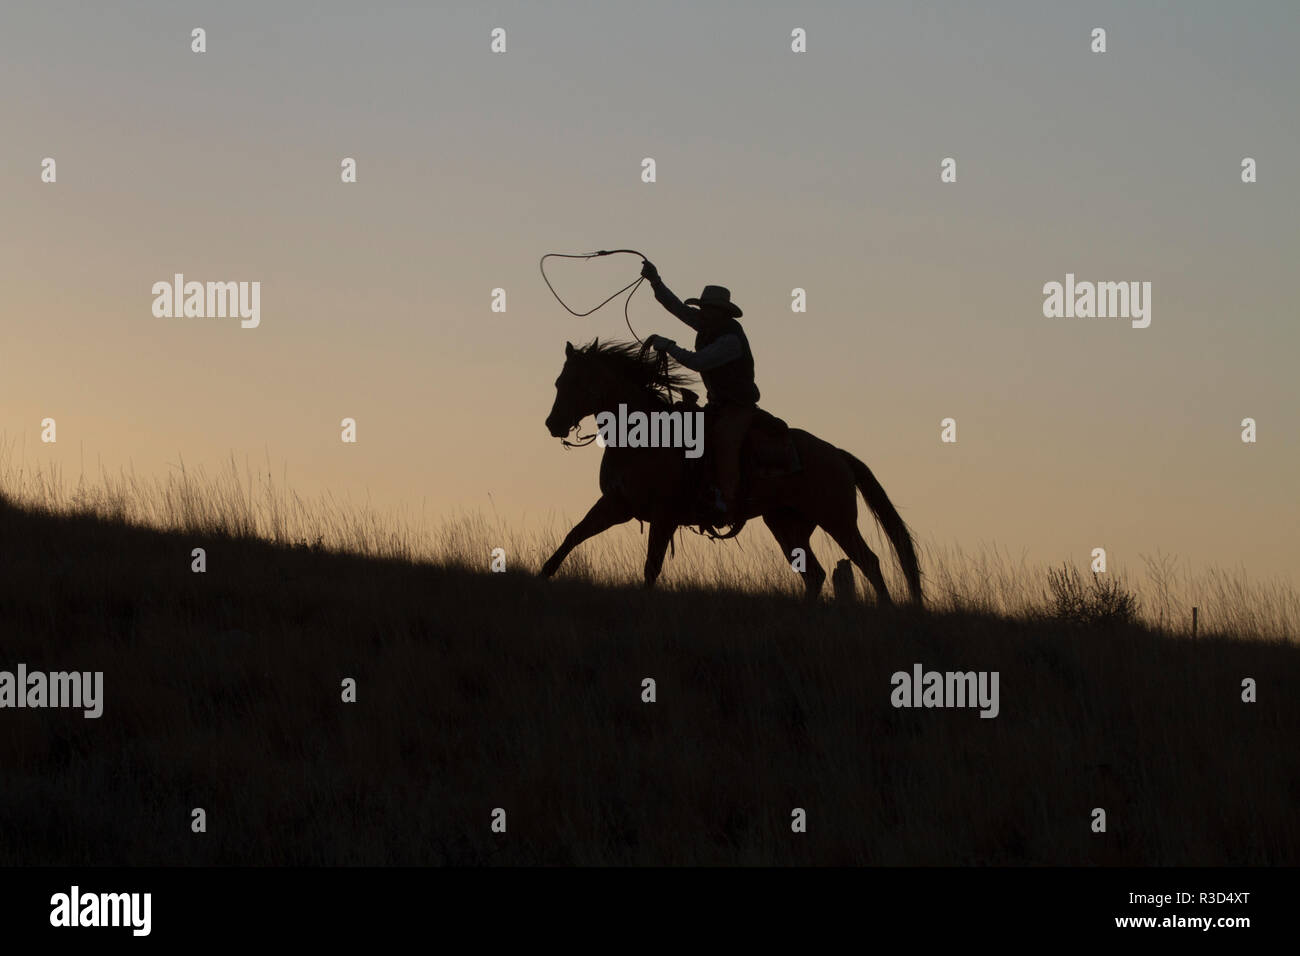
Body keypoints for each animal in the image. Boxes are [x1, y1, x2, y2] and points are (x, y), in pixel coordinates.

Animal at [538, 338, 925, 606]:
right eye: (558, 382)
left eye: (577, 383)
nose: (553, 424)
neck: (644, 437)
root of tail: (836, 454)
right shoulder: (616, 505)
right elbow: (573, 536)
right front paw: (542, 576)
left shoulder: (664, 516)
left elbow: (651, 565)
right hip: (786, 524)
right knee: (814, 574)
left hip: (837, 519)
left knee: (868, 561)